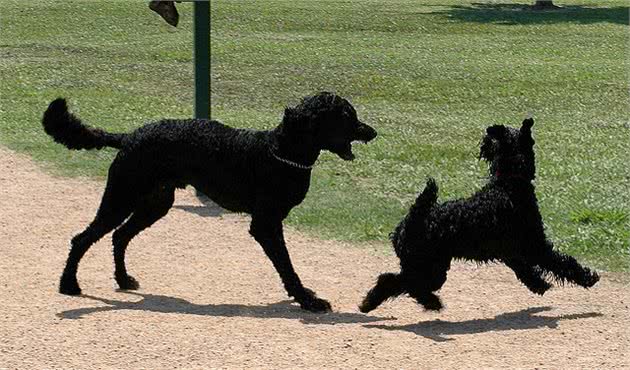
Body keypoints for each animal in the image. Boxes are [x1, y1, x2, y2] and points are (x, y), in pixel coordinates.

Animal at [44, 92, 380, 312]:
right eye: (346, 117)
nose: (373, 132)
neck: (280, 150)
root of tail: (129, 137)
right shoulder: (266, 224)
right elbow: (287, 266)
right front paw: (307, 300)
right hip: (121, 198)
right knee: (82, 238)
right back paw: (69, 285)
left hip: (154, 204)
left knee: (119, 235)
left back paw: (124, 279)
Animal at [362, 118, 600, 312]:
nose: (484, 142)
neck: (507, 184)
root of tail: (411, 220)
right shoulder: (534, 245)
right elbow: (562, 263)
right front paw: (588, 277)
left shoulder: (510, 251)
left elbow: (524, 270)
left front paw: (539, 285)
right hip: (431, 268)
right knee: (409, 285)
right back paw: (432, 303)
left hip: (424, 266)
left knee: (391, 280)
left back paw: (368, 304)